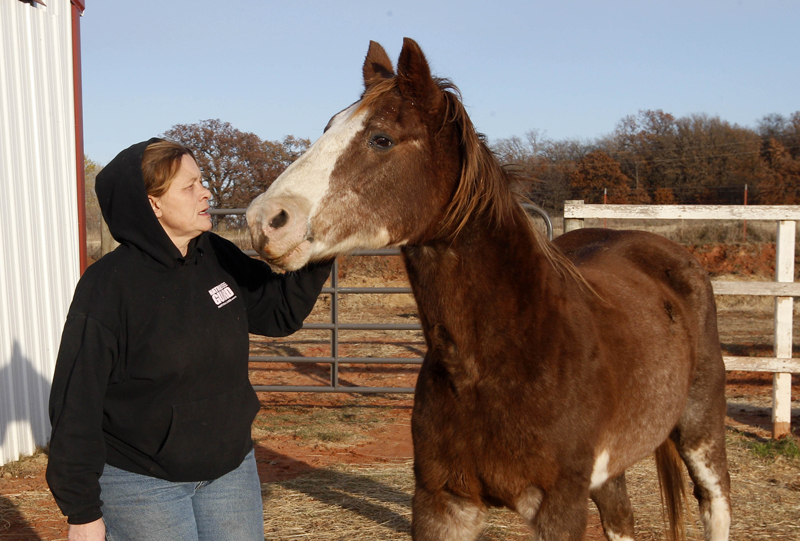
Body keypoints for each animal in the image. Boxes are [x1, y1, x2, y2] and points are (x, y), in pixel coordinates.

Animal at [250, 38, 732, 540]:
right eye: (328, 127)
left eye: (381, 138)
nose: (265, 220)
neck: (503, 358)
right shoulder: (443, 502)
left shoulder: (559, 510)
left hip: (701, 431)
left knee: (713, 501)